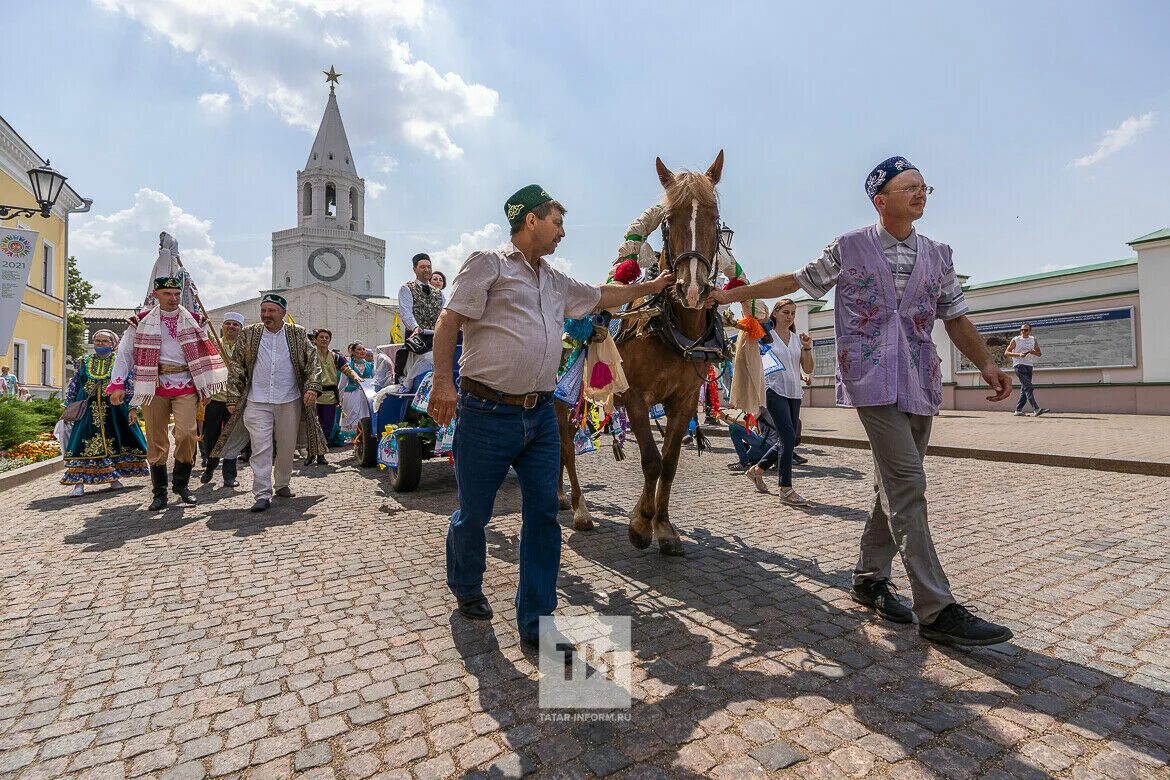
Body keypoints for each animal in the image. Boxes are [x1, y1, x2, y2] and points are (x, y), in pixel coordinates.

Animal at [556, 150, 720, 554]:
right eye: (669, 220)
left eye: (714, 217)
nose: (692, 289)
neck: (671, 328)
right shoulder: (635, 397)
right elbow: (651, 461)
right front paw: (641, 524)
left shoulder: (685, 400)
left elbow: (671, 462)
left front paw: (664, 526)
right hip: (560, 398)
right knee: (565, 447)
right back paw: (580, 509)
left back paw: (561, 497)